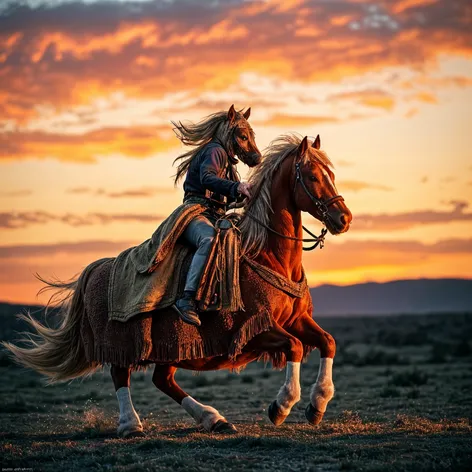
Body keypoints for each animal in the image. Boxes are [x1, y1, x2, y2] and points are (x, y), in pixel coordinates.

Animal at [1, 132, 350, 436]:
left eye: (331, 174)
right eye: (313, 176)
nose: (343, 218)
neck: (265, 254)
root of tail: (99, 268)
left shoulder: (296, 319)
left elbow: (328, 342)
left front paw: (317, 406)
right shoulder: (255, 327)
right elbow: (294, 347)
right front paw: (282, 406)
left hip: (172, 348)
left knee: (162, 380)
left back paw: (214, 420)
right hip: (124, 340)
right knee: (121, 374)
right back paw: (132, 425)